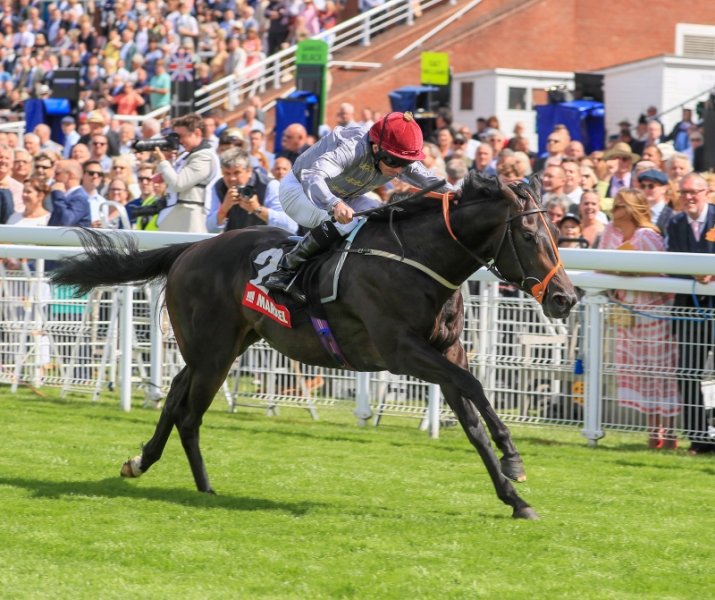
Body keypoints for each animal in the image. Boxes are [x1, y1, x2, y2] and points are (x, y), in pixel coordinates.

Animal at [51, 173, 578, 520]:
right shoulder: (402, 351)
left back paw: (158, 469)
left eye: (556, 234)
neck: (418, 261)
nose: (564, 298)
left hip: (222, 347)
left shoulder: (445, 352)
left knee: (178, 400)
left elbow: (471, 421)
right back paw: (193, 483)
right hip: (213, 352)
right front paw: (514, 459)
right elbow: (475, 388)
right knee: (187, 411)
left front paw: (515, 498)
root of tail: (190, 248)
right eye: (528, 234)